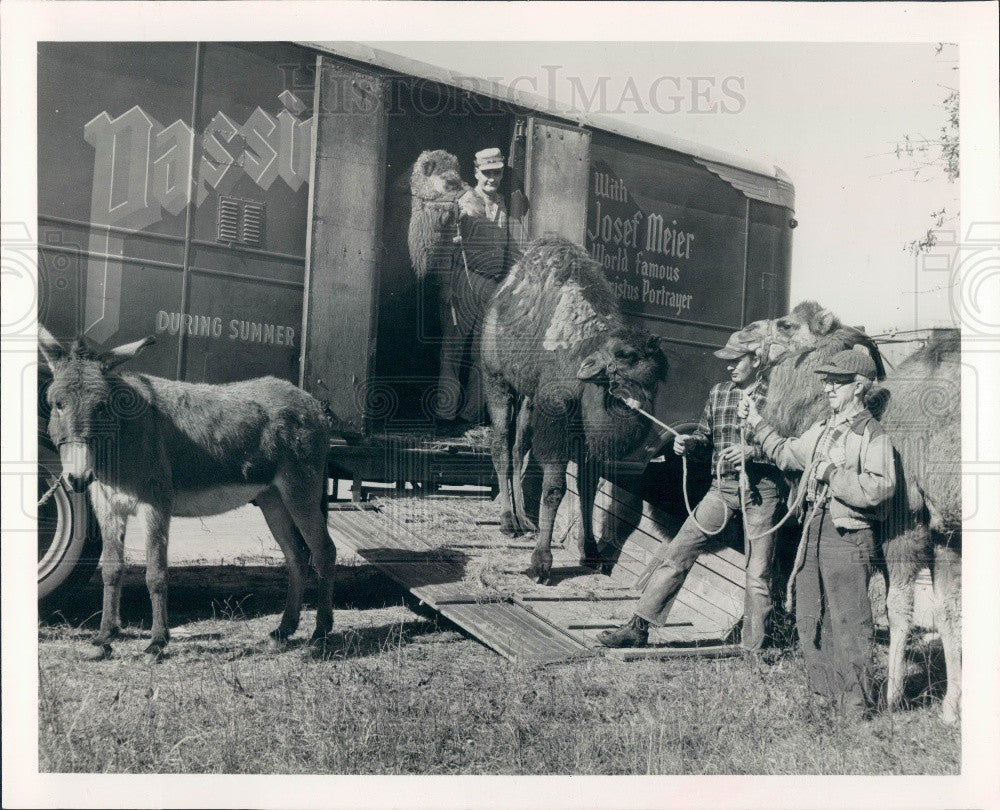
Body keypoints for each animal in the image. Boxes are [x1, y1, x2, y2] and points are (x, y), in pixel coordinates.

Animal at [38, 326, 340, 660]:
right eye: (57, 403)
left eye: (102, 406)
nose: (77, 477)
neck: (126, 434)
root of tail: (311, 401)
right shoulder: (107, 505)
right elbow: (111, 569)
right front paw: (105, 638)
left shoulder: (155, 503)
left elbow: (155, 572)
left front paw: (157, 642)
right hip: (273, 499)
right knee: (297, 556)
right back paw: (284, 629)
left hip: (301, 491)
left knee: (324, 551)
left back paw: (320, 633)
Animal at [482, 237, 668, 584]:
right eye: (623, 356)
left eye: (659, 373)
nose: (640, 401)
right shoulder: (557, 418)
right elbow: (555, 488)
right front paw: (540, 564)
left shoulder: (587, 436)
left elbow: (588, 489)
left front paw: (592, 552)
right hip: (496, 379)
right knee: (500, 443)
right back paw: (508, 521)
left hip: (530, 398)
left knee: (518, 447)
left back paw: (524, 520)